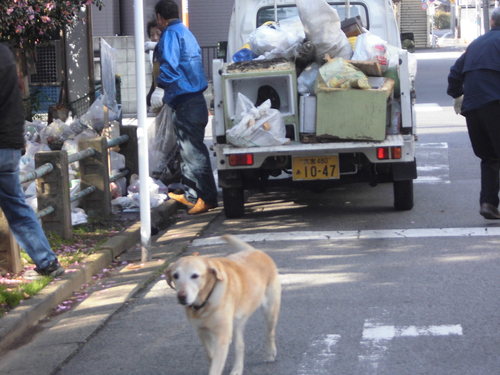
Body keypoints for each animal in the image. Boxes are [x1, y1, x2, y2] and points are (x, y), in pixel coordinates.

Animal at [166, 235, 280, 375]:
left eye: (195, 276)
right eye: (175, 276)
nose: (181, 297)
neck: (205, 302)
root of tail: (256, 251)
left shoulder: (222, 337)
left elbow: (215, 366)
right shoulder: (202, 332)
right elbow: (211, 355)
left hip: (270, 312)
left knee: (270, 333)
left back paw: (270, 353)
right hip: (237, 324)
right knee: (240, 345)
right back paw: (238, 368)